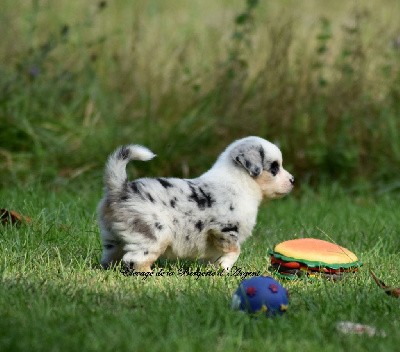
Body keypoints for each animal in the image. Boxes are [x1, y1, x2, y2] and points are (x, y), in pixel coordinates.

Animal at [98, 135, 296, 272]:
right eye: (274, 167)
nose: (293, 180)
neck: (241, 182)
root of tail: (121, 189)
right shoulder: (224, 230)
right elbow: (235, 250)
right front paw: (225, 267)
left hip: (112, 239)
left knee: (111, 258)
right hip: (155, 234)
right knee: (135, 260)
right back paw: (151, 273)